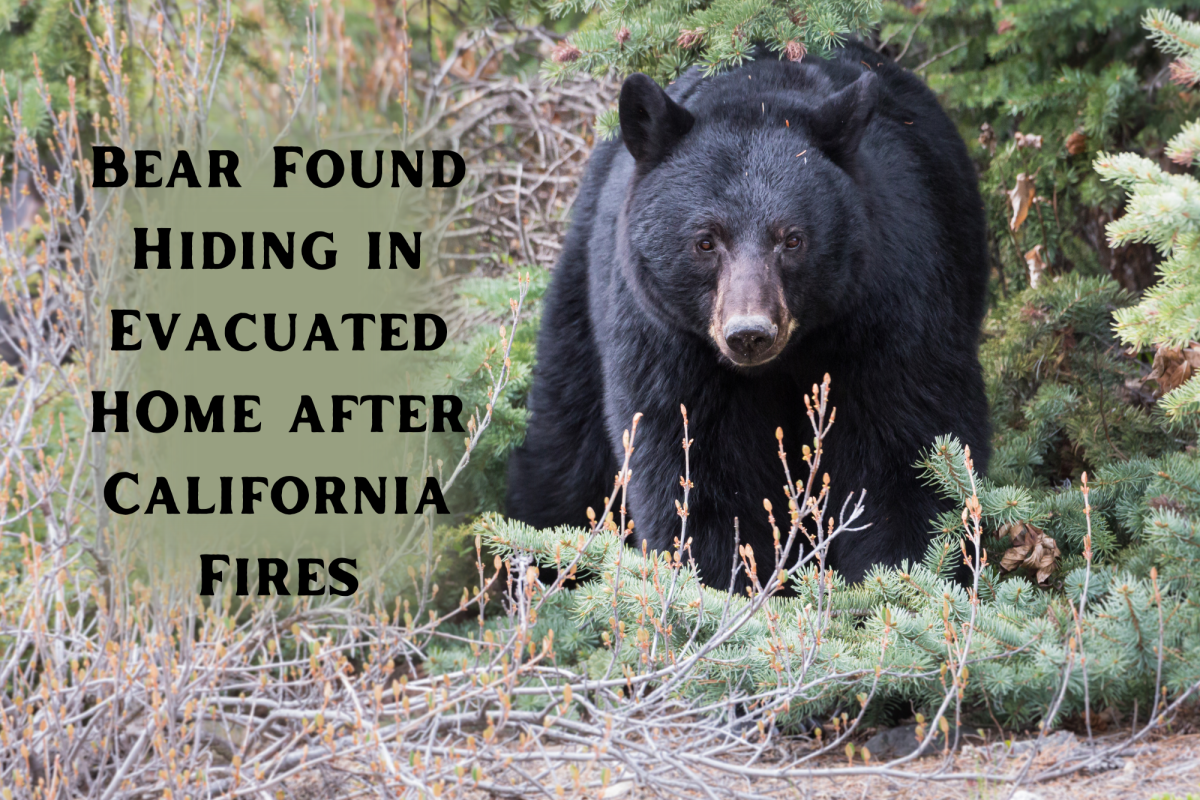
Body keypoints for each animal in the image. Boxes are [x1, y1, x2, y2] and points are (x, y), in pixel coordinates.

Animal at [504, 42, 984, 587]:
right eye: (705, 241)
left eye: (792, 239)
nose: (749, 332)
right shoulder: (668, 342)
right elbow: (700, 474)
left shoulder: (891, 306)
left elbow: (906, 453)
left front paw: (902, 580)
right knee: (564, 445)